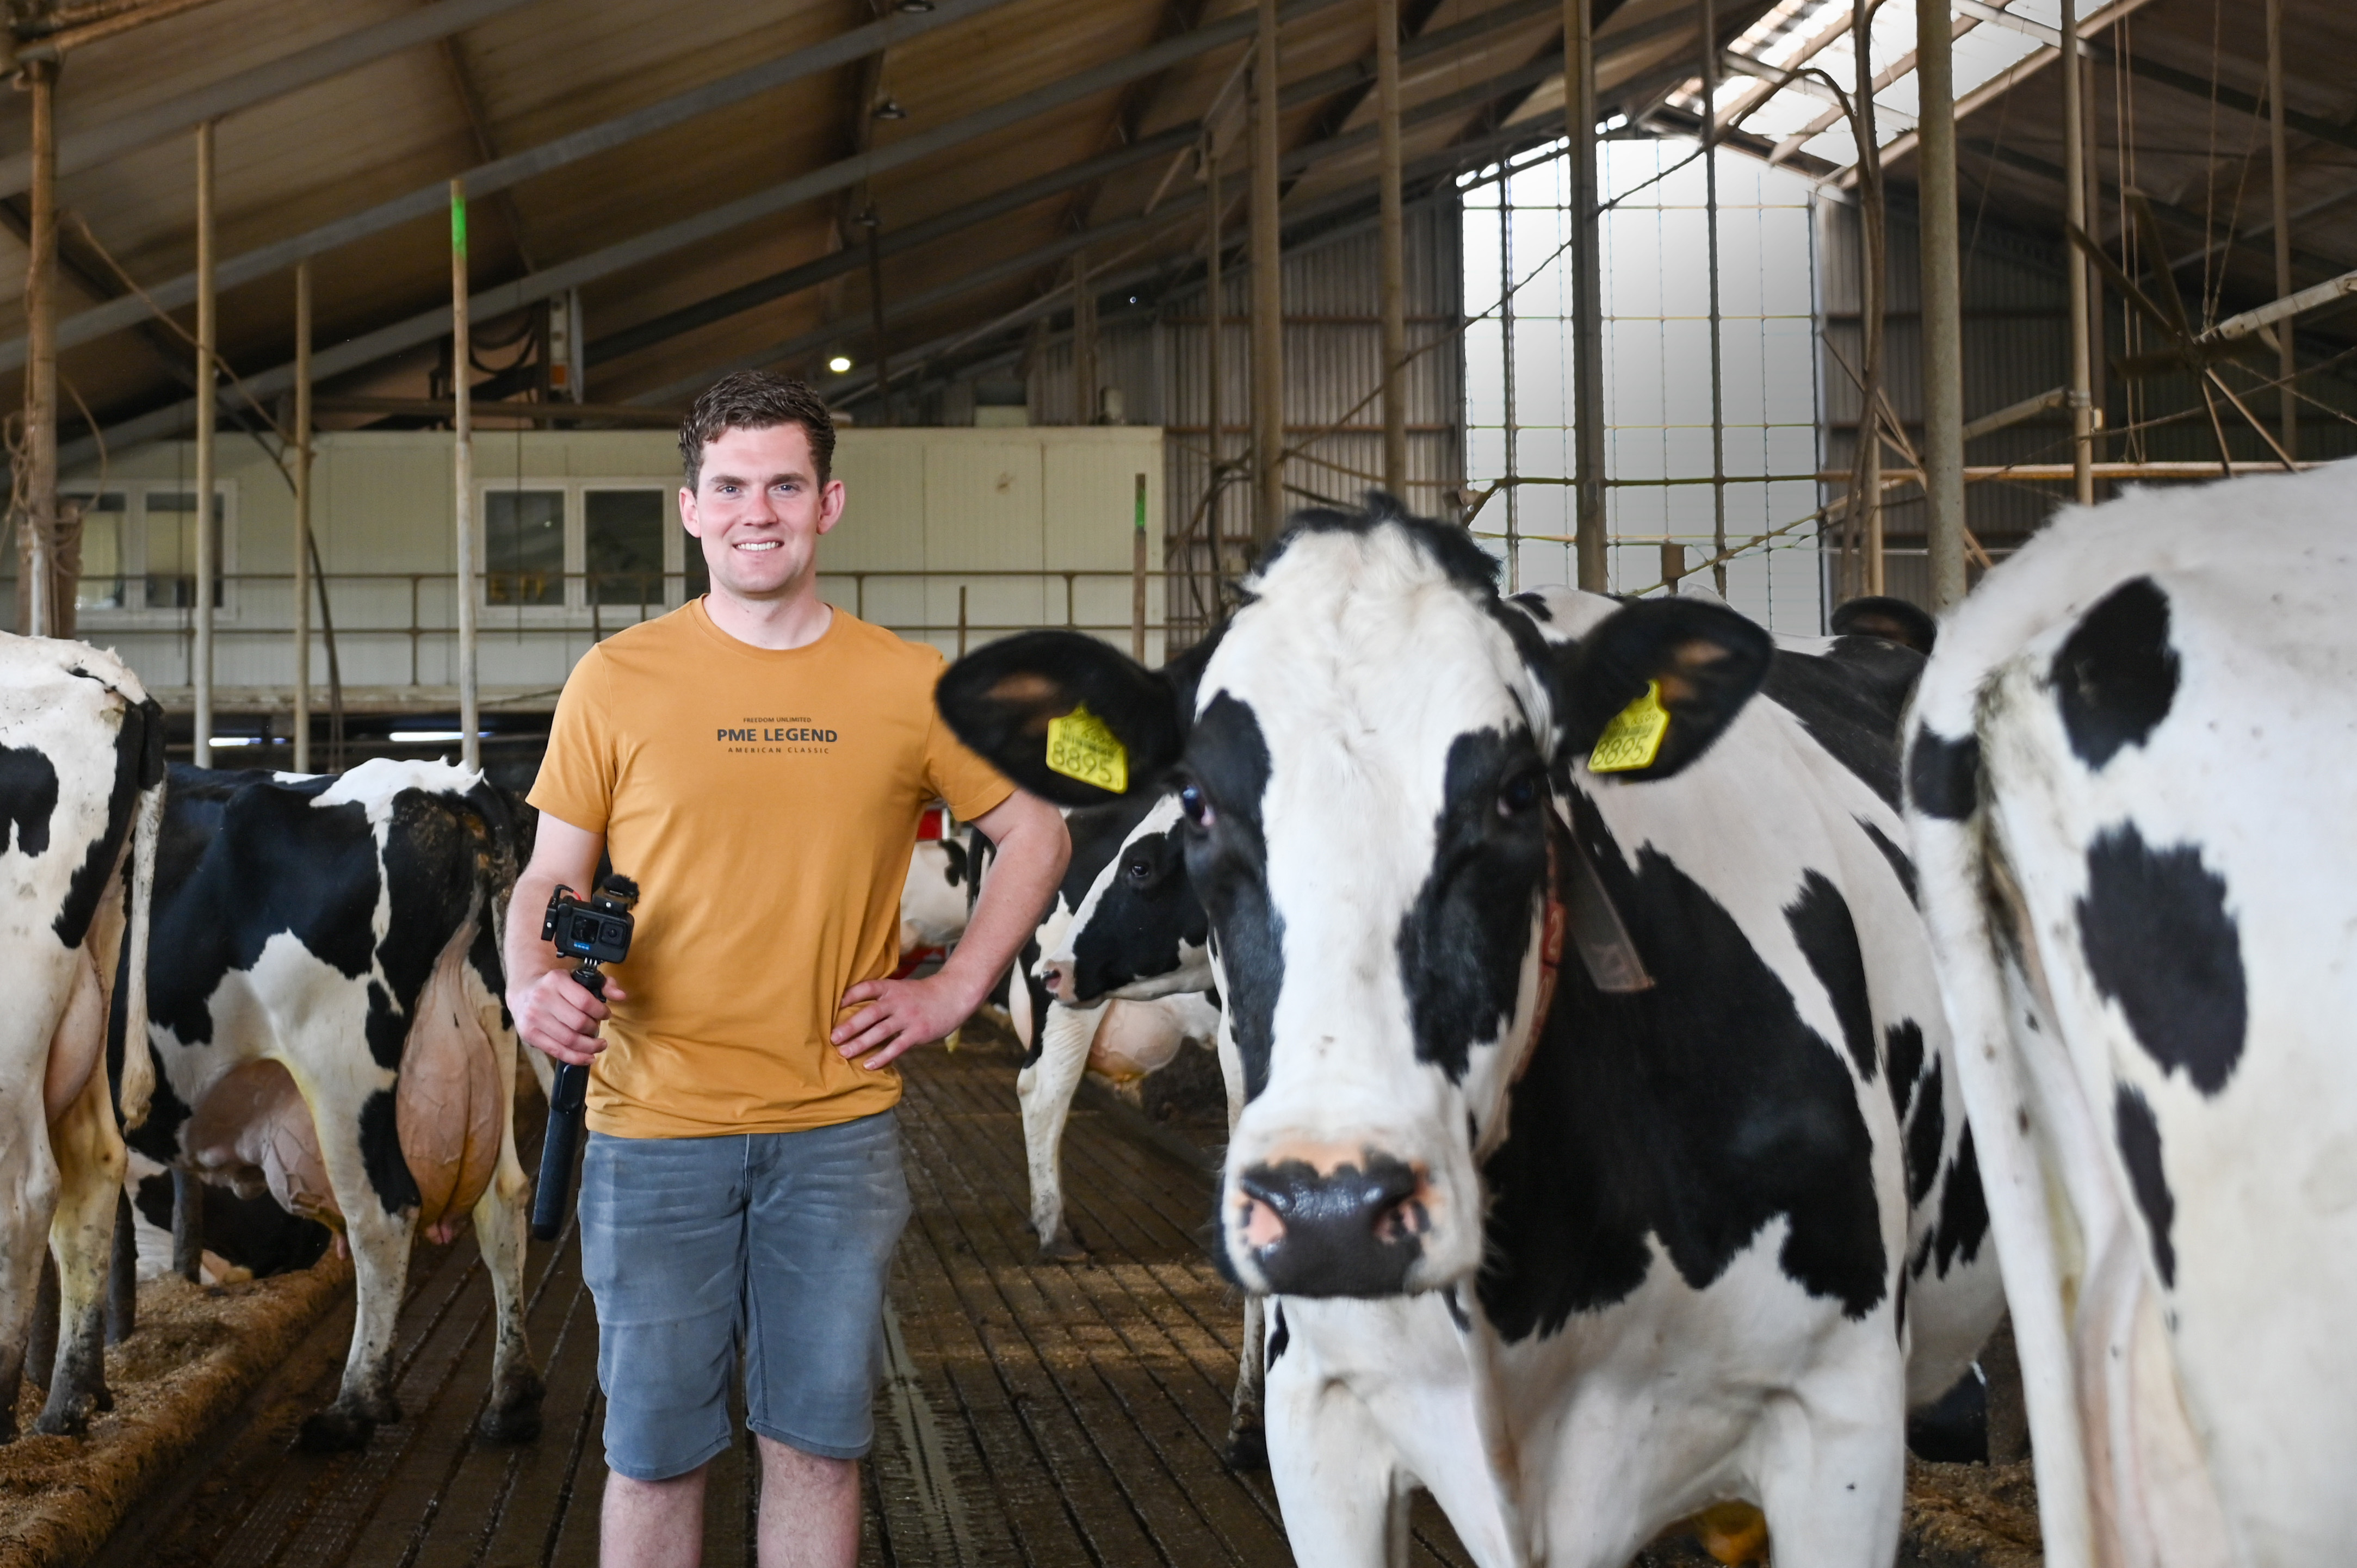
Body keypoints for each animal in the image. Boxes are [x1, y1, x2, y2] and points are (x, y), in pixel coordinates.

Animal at [123, 754, 542, 1443]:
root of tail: (449, 786)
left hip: (341, 1060)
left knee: (382, 1213)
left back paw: (353, 1406)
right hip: (492, 1035)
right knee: (503, 1200)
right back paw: (511, 1398)